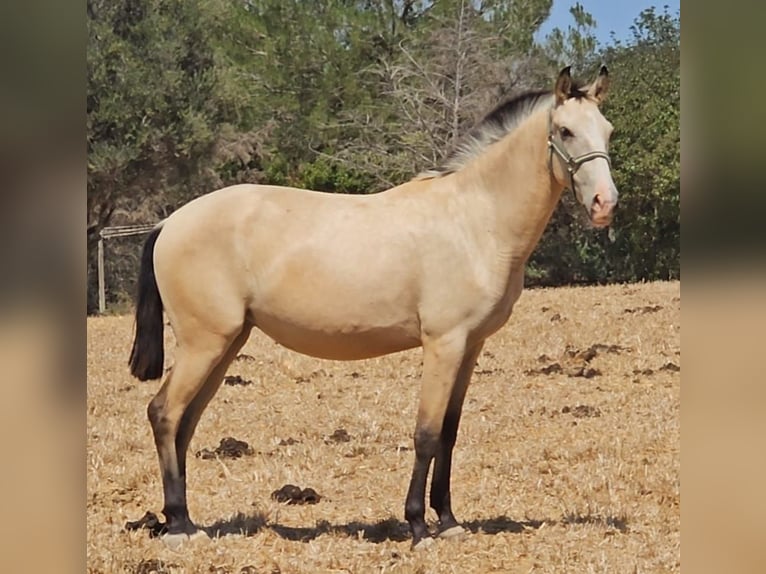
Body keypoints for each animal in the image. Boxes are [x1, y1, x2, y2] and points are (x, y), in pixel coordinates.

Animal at [126, 65, 616, 552]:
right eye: (565, 131)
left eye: (607, 130)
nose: (605, 204)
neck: (474, 220)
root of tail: (170, 222)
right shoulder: (443, 344)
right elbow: (426, 433)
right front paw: (418, 527)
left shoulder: (470, 346)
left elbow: (450, 432)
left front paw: (449, 521)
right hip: (204, 343)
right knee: (164, 413)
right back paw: (176, 526)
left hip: (226, 344)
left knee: (185, 421)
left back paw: (186, 521)